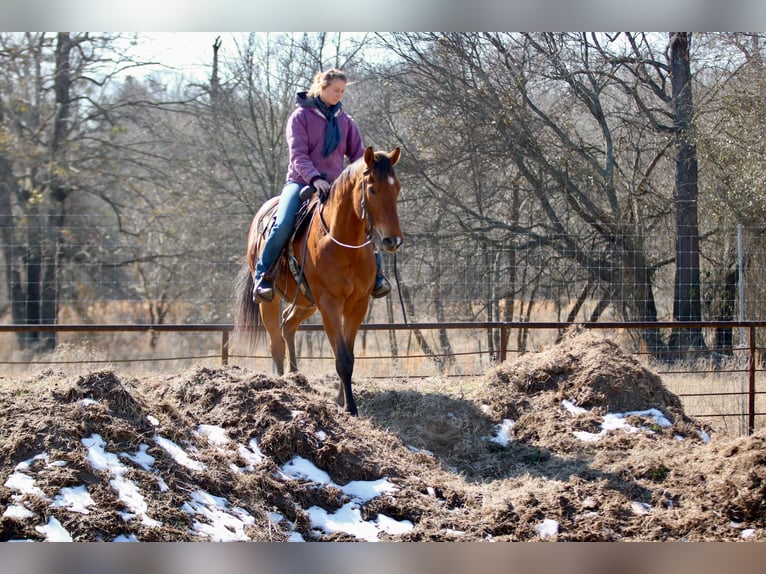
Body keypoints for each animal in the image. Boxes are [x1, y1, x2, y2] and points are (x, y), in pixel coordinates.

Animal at [234, 146, 403, 416]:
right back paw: (283, 385)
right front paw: (350, 407)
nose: (392, 240)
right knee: (276, 343)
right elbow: (342, 358)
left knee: (288, 325)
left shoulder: (358, 304)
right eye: (372, 188)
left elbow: (348, 353)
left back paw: (295, 377)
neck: (343, 244)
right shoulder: (329, 303)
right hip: (270, 301)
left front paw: (341, 400)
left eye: (396, 187)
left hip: (306, 302)